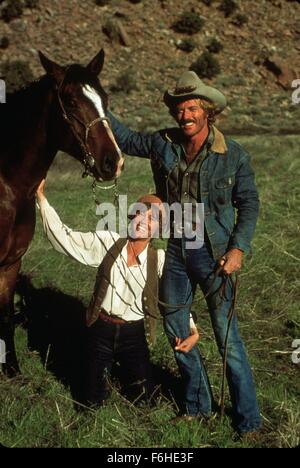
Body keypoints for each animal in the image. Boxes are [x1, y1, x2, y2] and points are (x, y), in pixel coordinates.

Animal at [0, 48, 124, 376]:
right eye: (69, 101)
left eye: (105, 98)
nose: (113, 162)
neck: (8, 186)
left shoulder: (11, 264)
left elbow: (5, 314)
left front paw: (12, 369)